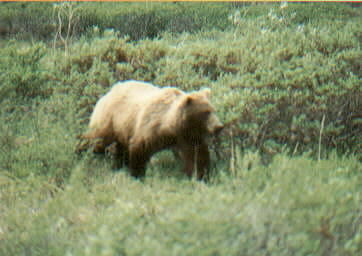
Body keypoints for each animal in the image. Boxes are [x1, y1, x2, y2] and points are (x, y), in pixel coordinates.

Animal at [78, 80, 222, 180]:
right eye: (205, 112)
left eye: (213, 109)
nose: (219, 126)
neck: (171, 125)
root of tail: (110, 91)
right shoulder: (151, 127)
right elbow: (139, 148)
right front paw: (137, 174)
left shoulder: (188, 136)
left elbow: (197, 155)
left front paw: (201, 175)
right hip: (110, 120)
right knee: (96, 140)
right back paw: (80, 153)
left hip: (123, 128)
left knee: (120, 149)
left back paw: (117, 166)